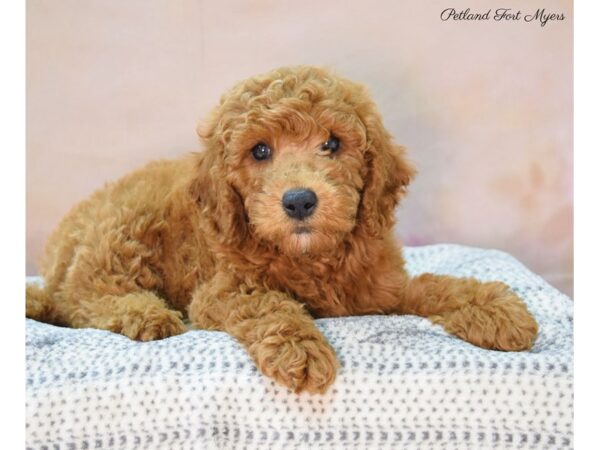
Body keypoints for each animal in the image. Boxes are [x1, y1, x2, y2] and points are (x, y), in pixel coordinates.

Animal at [25, 66, 536, 394]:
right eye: (260, 151)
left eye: (332, 143)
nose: (299, 201)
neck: (310, 258)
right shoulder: (221, 291)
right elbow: (270, 304)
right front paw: (300, 350)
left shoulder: (377, 290)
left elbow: (433, 286)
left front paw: (496, 309)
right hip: (120, 232)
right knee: (82, 297)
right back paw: (146, 314)